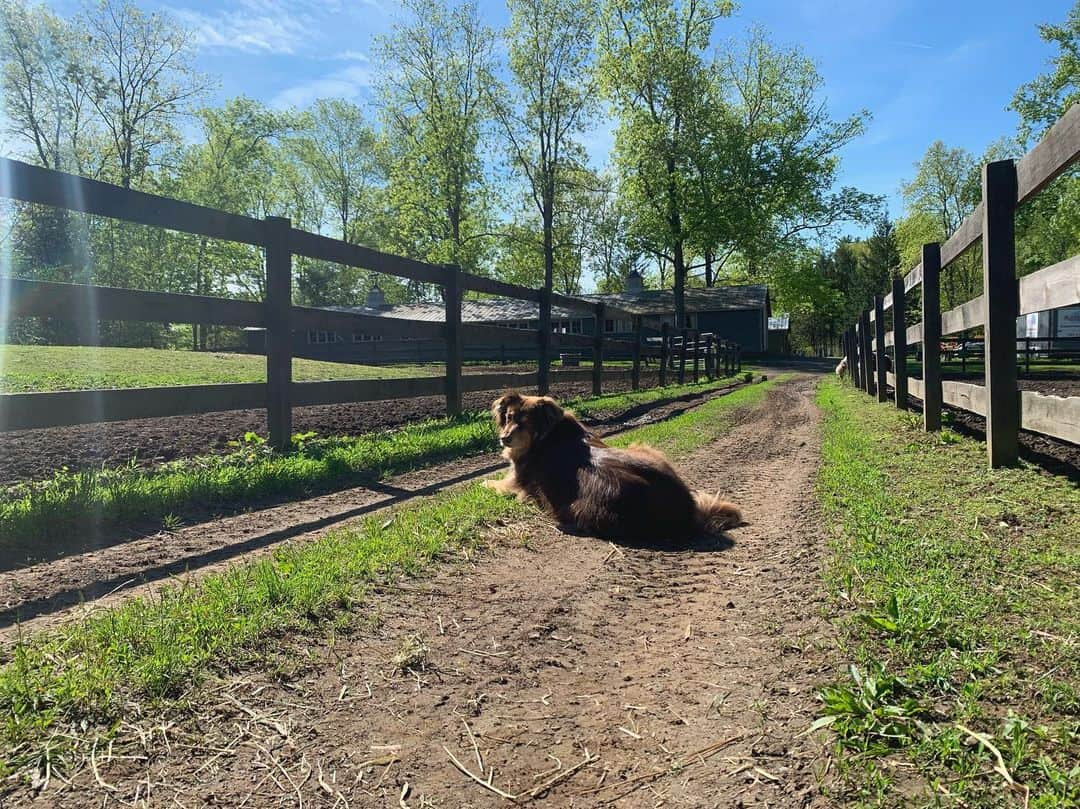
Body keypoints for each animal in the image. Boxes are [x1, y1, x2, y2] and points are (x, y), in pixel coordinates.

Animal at [483, 388, 743, 542]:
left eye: (524, 423)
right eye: (508, 418)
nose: (504, 438)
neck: (546, 436)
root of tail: (685, 512)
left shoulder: (517, 485)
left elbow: (491, 484)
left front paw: (484, 484)